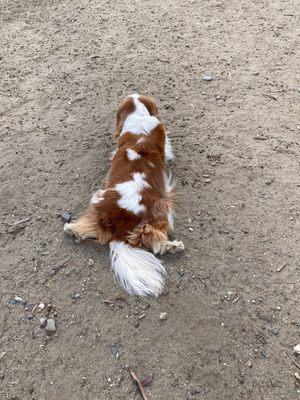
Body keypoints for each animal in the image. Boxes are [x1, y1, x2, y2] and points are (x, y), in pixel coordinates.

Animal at [63, 92, 183, 296]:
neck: (140, 120)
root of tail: (121, 227)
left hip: (98, 198)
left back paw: (72, 229)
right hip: (162, 208)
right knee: (155, 241)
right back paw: (174, 246)